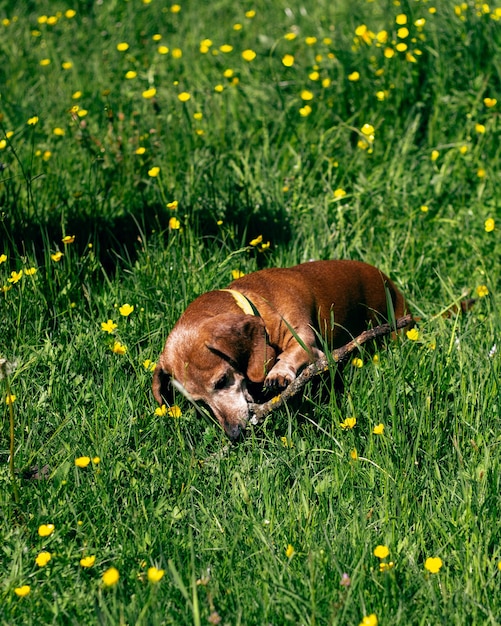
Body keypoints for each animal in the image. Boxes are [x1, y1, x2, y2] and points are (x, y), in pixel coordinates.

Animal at [154, 258, 408, 438]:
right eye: (199, 402)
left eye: (222, 381)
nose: (234, 434)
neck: (258, 301)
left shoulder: (306, 342)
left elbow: (292, 354)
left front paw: (278, 373)